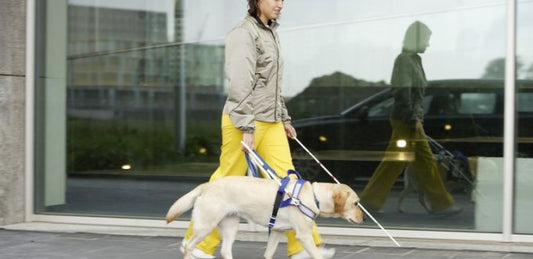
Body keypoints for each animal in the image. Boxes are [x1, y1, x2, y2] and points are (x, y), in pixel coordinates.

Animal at [166, 176, 364, 258]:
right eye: (356, 203)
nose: (364, 219)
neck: (314, 196)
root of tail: (206, 185)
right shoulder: (304, 235)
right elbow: (316, 255)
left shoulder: (276, 231)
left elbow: (268, 254)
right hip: (206, 225)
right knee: (188, 246)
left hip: (230, 225)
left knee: (225, 251)